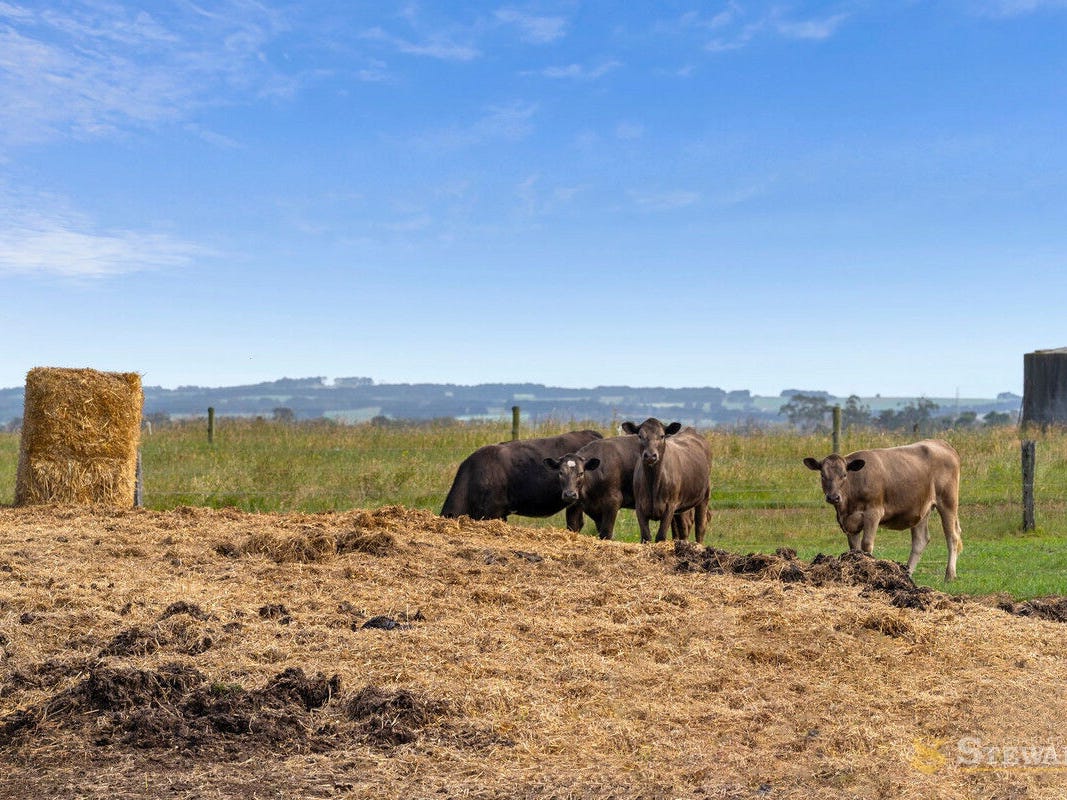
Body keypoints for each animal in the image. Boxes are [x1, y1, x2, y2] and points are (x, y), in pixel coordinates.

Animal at [542, 435, 696, 540]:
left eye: (580, 473)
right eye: (560, 473)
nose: (569, 494)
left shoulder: (613, 502)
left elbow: (606, 532)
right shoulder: (590, 507)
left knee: (684, 524)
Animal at [803, 439, 963, 581]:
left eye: (844, 475)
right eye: (822, 475)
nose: (833, 497)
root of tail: (942, 443)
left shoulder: (873, 513)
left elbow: (866, 545)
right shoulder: (849, 522)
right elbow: (854, 548)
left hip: (948, 501)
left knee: (952, 536)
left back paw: (949, 575)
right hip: (921, 508)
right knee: (920, 540)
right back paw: (907, 575)